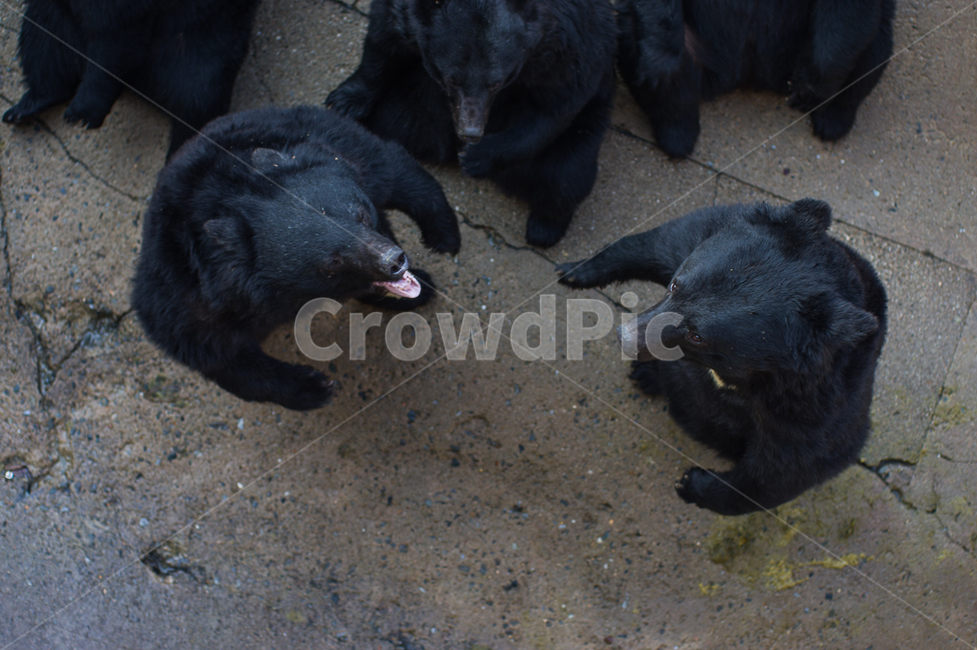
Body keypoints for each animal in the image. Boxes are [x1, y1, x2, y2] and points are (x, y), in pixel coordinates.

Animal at [3, 0, 260, 158]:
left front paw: (84, 111)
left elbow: (118, 23)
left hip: (206, 34)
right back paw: (33, 102)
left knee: (199, 92)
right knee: (47, 30)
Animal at [131, 106, 462, 411]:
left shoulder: (331, 143)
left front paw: (444, 237)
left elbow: (391, 168)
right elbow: (205, 347)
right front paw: (313, 386)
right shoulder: (191, 288)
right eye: (332, 262)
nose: (393, 262)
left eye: (361, 215)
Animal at [326, 0, 617, 248]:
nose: (470, 133)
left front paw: (477, 157)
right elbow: (385, 40)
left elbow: (556, 103)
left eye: (496, 82)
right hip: (408, 106)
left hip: (589, 123)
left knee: (565, 174)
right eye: (451, 78)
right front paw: (345, 101)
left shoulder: (566, 41)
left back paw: (544, 227)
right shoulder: (405, 15)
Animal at [558, 199, 887, 515]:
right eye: (675, 285)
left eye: (697, 335)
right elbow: (662, 241)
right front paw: (573, 271)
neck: (738, 376)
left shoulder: (815, 404)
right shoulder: (703, 234)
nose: (624, 337)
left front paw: (693, 484)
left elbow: (791, 467)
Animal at [616, 0, 895, 158]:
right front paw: (661, 62)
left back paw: (833, 117)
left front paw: (812, 86)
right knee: (632, 30)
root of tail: (746, 75)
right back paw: (676, 130)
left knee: (870, 44)